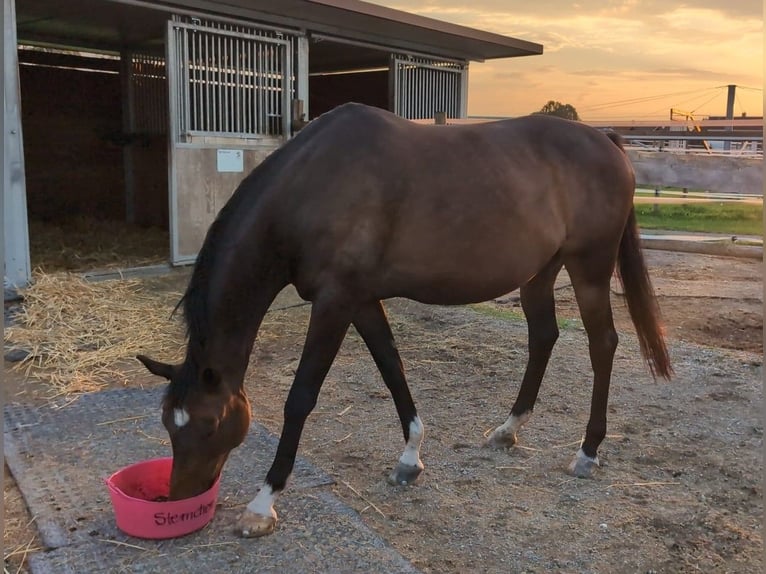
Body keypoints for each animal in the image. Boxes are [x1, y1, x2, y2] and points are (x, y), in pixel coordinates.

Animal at [138, 102, 672, 540]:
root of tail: (606, 140)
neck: (311, 186)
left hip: (590, 268)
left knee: (602, 343)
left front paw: (262, 503)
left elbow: (301, 397)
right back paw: (507, 429)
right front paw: (410, 458)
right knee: (544, 336)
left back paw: (587, 452)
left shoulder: (334, 302)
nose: (181, 499)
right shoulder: (361, 301)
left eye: (209, 425)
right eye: (168, 423)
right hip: (540, 272)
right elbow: (392, 368)